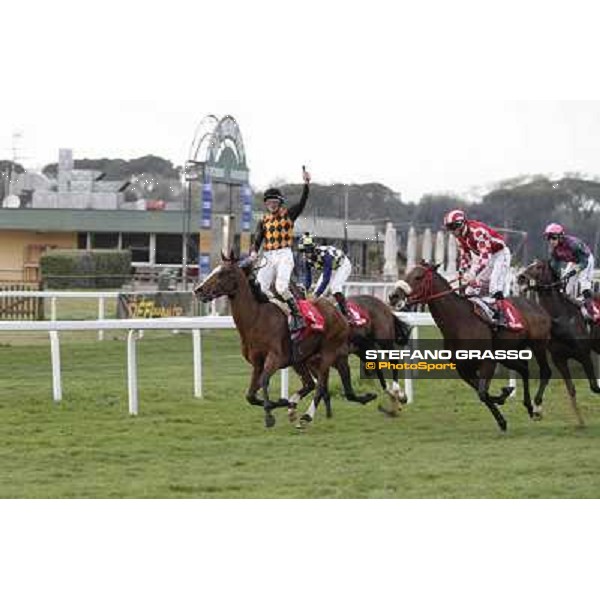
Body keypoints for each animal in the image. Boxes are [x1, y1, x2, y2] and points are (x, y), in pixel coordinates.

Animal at [386, 264, 552, 432]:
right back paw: (529, 406)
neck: (459, 322)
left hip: (538, 345)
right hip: (507, 354)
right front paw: (502, 414)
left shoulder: (488, 362)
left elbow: (483, 393)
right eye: (407, 273)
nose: (393, 296)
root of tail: (536, 306)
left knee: (545, 371)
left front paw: (504, 401)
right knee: (524, 369)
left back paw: (537, 407)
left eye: (418, 277)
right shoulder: (463, 369)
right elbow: (483, 393)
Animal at [516, 258, 600, 426]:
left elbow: (595, 387)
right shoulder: (559, 359)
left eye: (539, 267)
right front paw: (537, 409)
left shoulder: (584, 355)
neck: (562, 318)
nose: (520, 278)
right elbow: (570, 388)